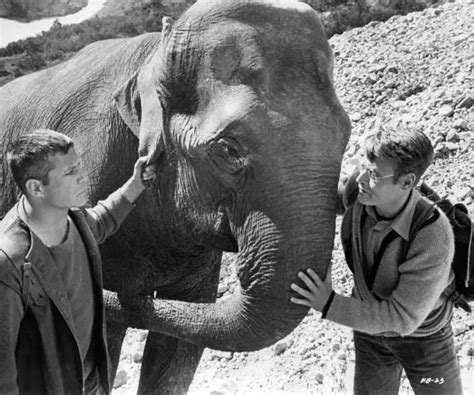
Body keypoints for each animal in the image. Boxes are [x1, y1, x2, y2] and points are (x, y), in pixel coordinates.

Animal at [0, 0, 352, 392]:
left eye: (346, 135)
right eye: (229, 149)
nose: (129, 294)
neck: (154, 55)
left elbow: (180, 349)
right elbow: (104, 341)